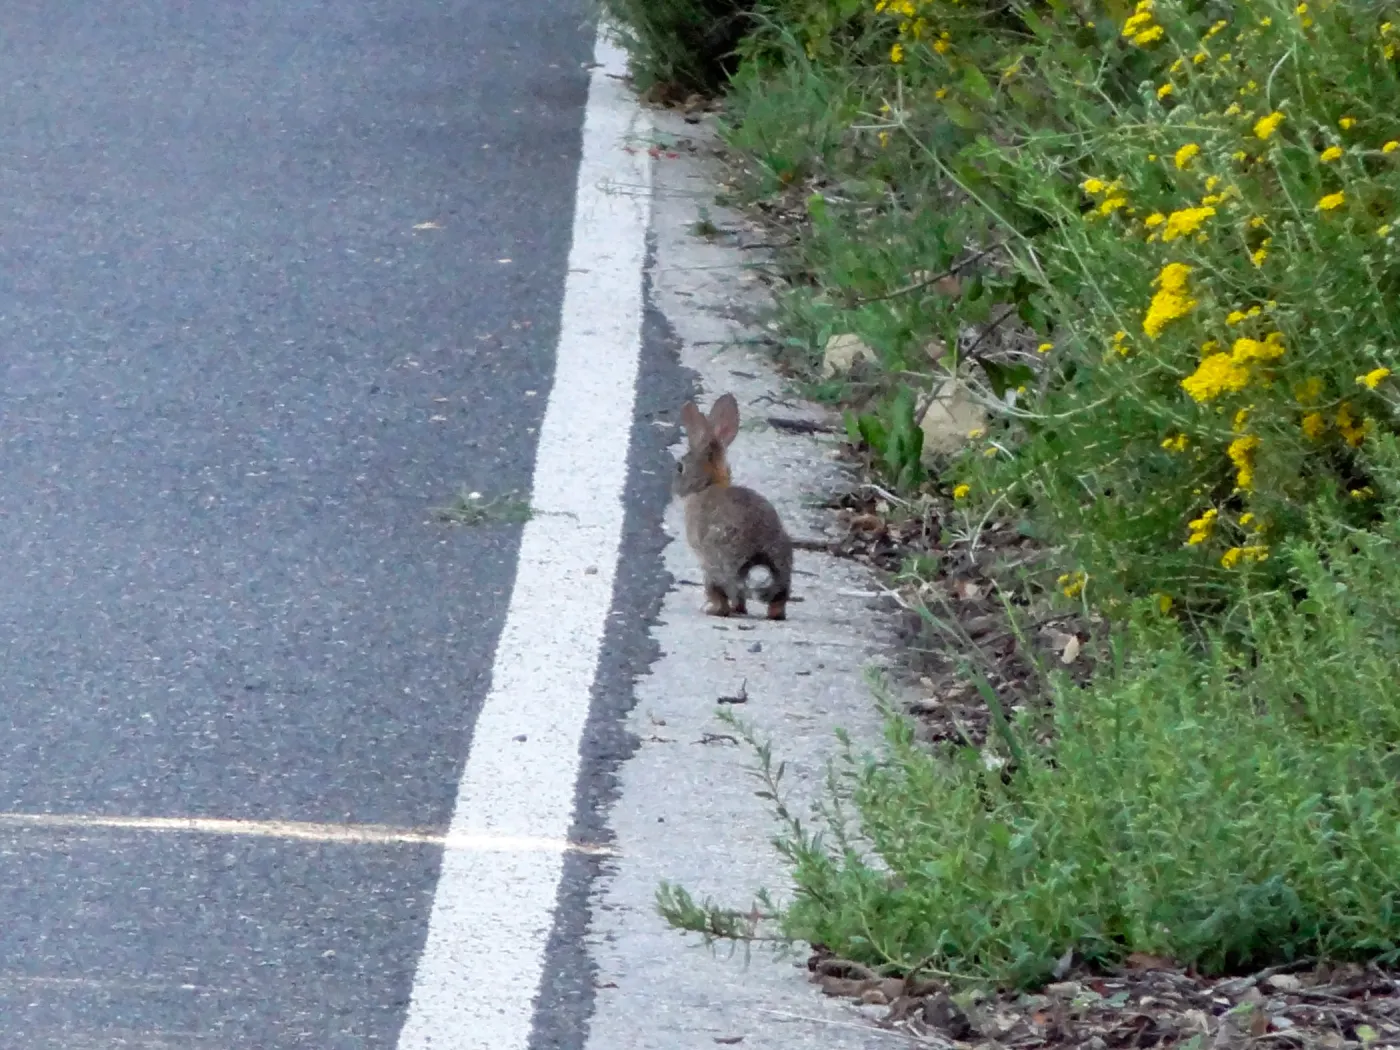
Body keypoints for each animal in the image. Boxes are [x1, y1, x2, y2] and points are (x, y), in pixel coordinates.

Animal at [673, 392, 794, 620]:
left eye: (679, 467)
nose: (675, 490)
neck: (708, 484)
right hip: (782, 562)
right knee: (776, 601)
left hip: (715, 566)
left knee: (724, 597)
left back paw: (712, 609)